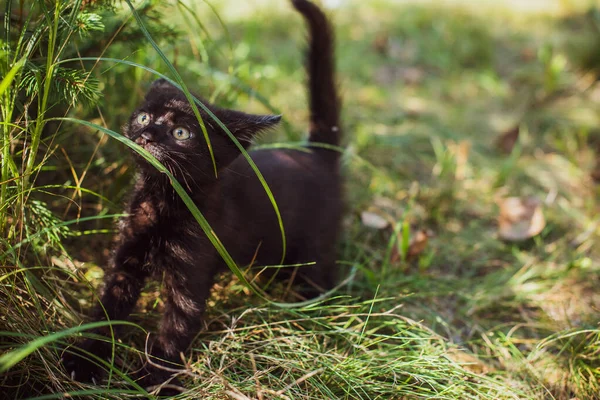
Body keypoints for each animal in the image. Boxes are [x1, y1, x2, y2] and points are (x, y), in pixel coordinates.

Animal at [64, 0, 342, 392]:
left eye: (182, 133)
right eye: (144, 117)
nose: (147, 135)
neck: (163, 201)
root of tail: (317, 155)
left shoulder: (191, 271)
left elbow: (176, 327)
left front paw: (155, 380)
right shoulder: (126, 255)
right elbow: (106, 309)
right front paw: (84, 360)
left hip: (314, 250)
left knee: (319, 278)